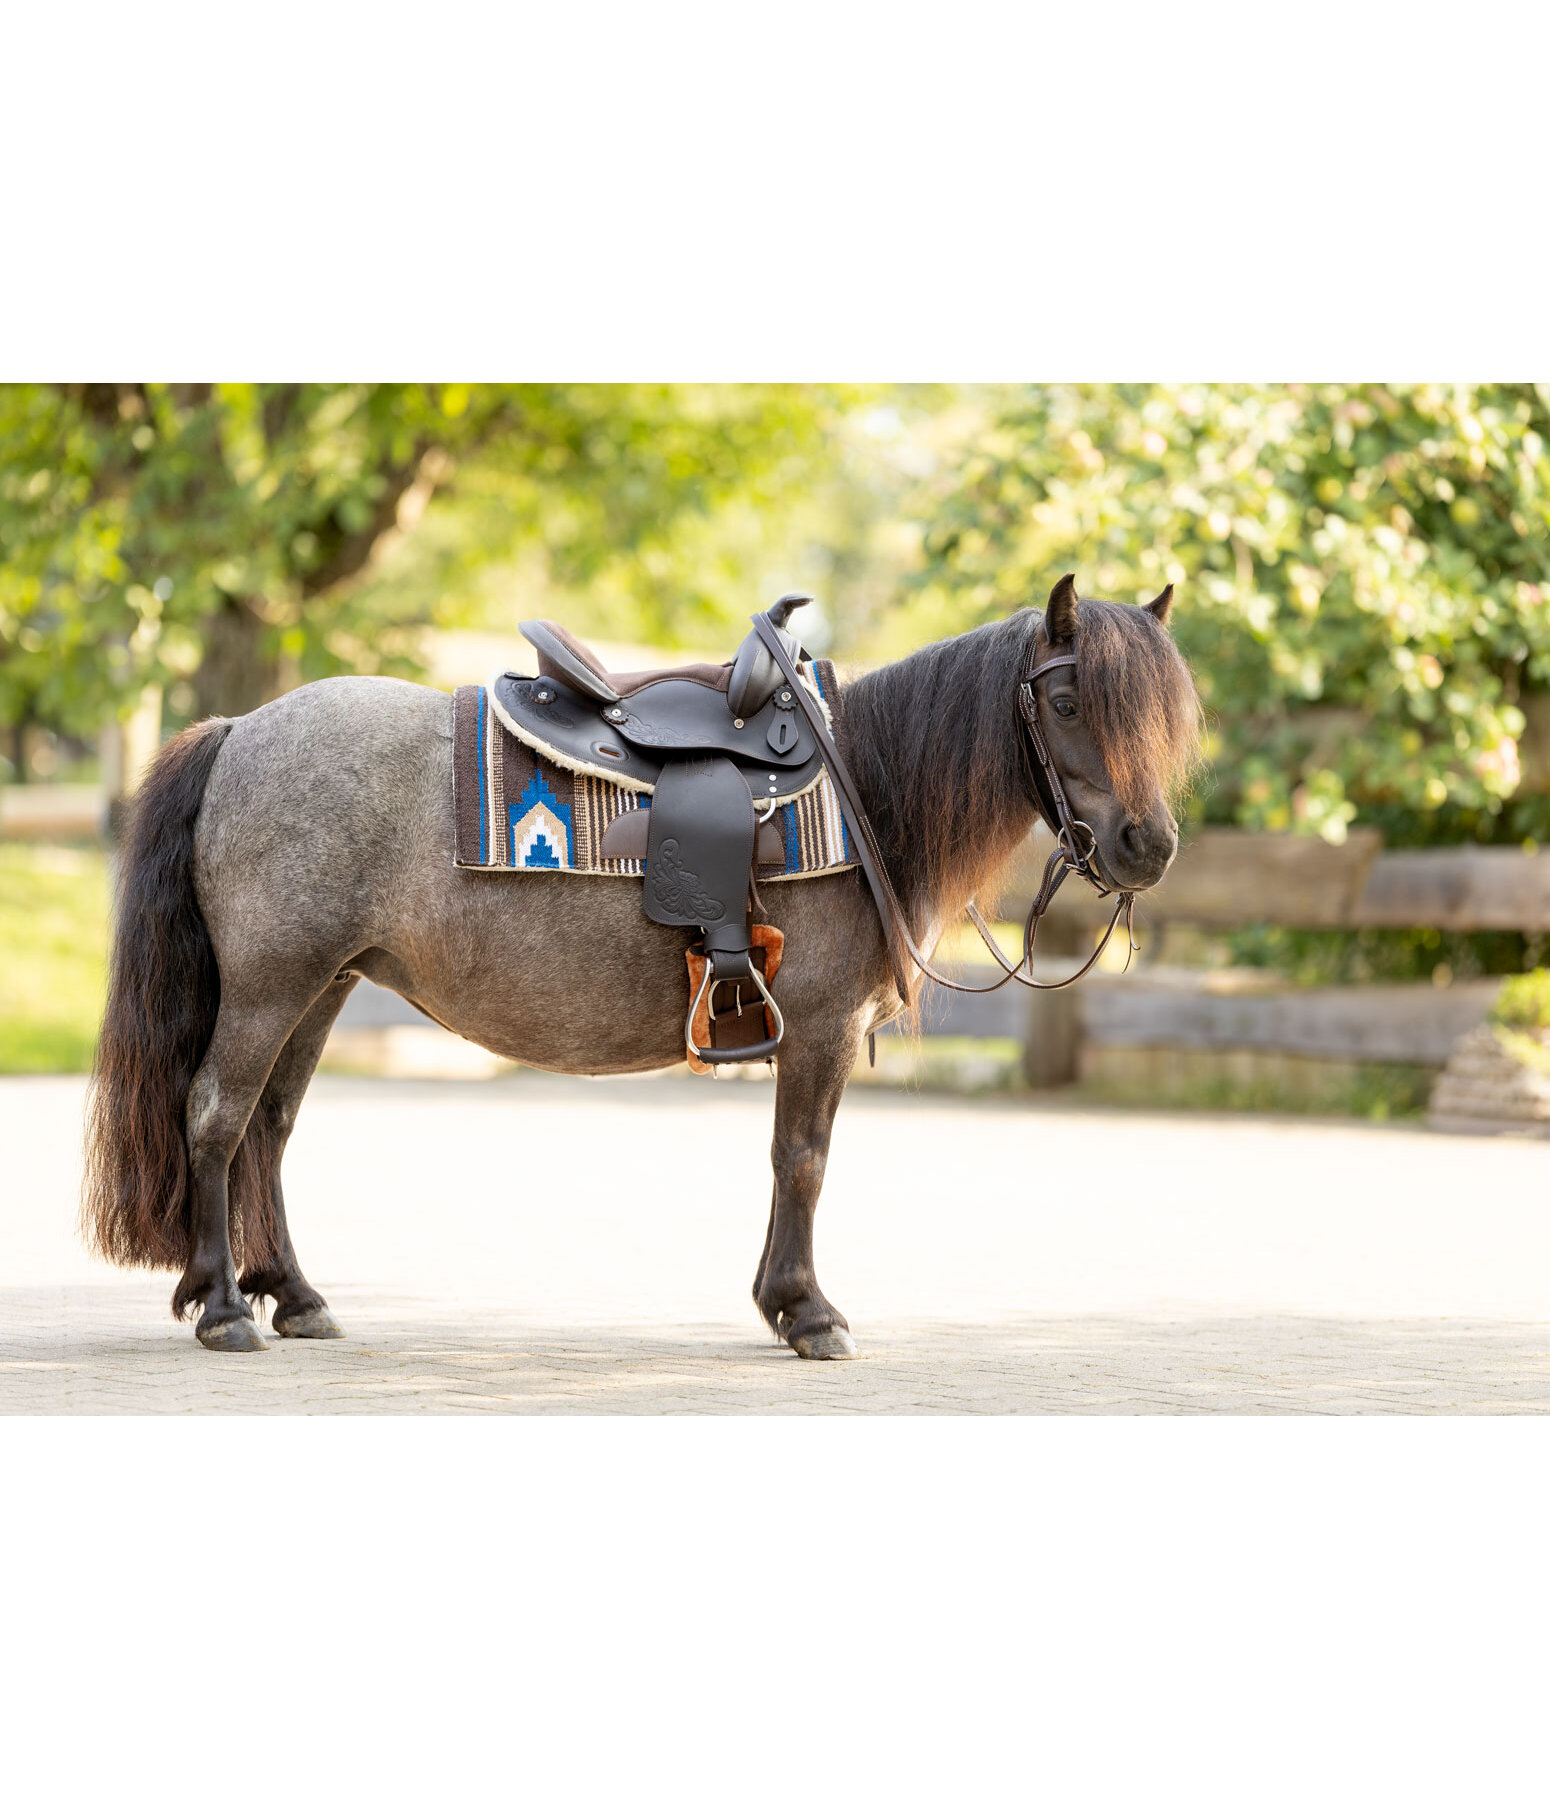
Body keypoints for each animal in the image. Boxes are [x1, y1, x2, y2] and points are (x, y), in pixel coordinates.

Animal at [81, 574, 1202, 1358]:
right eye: (1068, 703)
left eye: (1164, 715)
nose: (1147, 845)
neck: (867, 788)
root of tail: (239, 731)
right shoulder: (822, 1027)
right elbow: (802, 1159)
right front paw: (805, 1312)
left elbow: (793, 1161)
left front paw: (785, 1305)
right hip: (272, 983)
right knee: (217, 1118)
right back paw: (224, 1306)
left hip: (324, 984)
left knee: (268, 1128)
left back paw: (295, 1296)